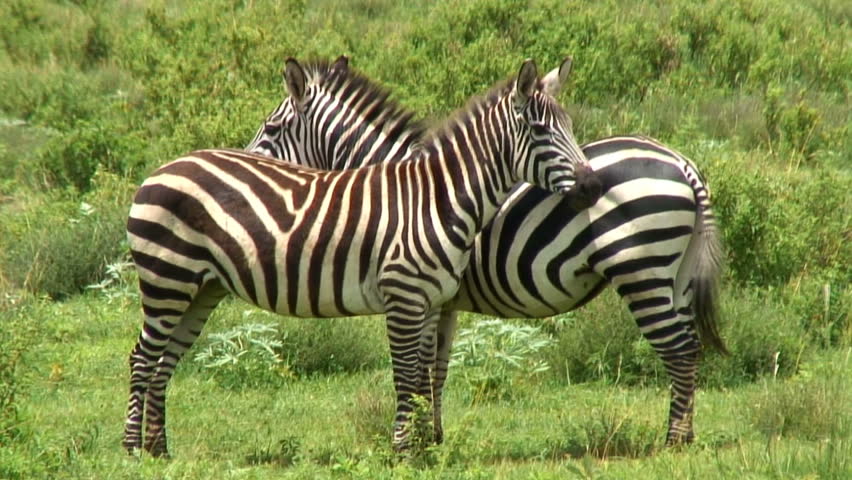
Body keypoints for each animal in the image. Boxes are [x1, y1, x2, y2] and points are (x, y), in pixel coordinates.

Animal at [123, 56, 600, 458]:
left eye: (568, 127)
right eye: (540, 131)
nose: (592, 187)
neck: (437, 198)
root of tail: (164, 167)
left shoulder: (433, 302)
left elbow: (425, 374)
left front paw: (424, 447)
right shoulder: (405, 297)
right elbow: (408, 375)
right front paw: (405, 450)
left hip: (200, 288)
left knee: (164, 360)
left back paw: (159, 451)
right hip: (169, 279)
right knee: (143, 357)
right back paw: (132, 451)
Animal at [241, 54, 724, 444]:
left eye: (271, 128)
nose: (244, 161)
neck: (408, 189)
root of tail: (680, 162)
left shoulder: (423, 295)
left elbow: (420, 368)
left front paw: (420, 438)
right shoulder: (443, 302)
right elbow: (436, 368)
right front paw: (433, 436)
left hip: (642, 270)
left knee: (678, 350)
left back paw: (673, 440)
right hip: (676, 275)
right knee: (691, 347)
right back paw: (686, 434)